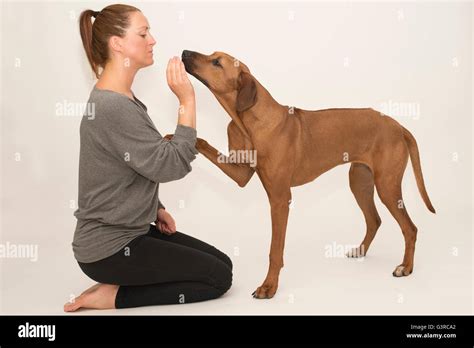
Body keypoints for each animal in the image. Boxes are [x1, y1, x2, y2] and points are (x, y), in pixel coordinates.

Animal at [180, 49, 436, 300]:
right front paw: (177, 138)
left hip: (387, 186)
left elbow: (275, 249)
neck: (248, 120)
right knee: (374, 219)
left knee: (410, 228)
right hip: (359, 182)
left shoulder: (280, 199)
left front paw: (269, 286)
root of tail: (398, 126)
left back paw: (405, 267)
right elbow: (204, 144)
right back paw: (361, 250)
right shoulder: (241, 174)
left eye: (216, 62)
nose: (184, 52)